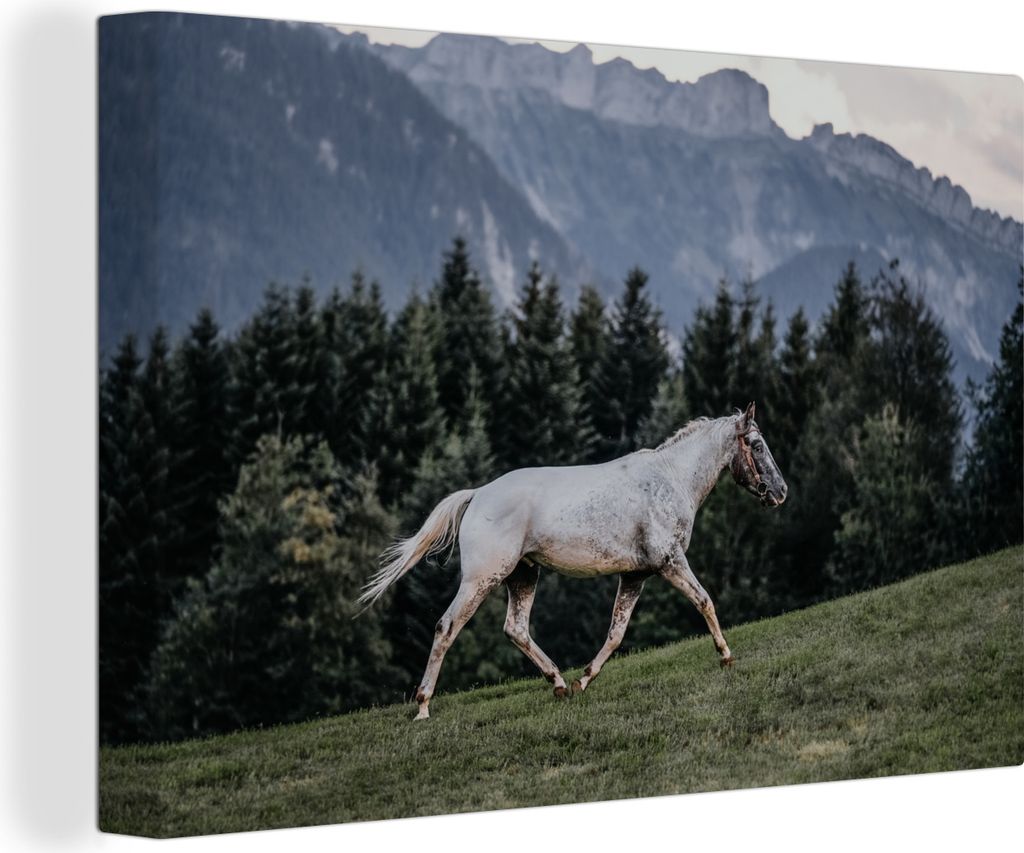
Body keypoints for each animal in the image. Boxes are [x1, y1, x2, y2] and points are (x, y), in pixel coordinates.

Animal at [359, 401, 787, 720]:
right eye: (757, 444)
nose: (780, 491)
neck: (670, 479)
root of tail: (478, 494)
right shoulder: (670, 563)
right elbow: (704, 601)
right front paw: (726, 656)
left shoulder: (636, 576)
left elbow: (616, 633)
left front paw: (585, 679)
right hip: (482, 579)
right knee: (447, 627)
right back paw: (423, 705)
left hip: (523, 576)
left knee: (515, 628)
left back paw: (560, 683)